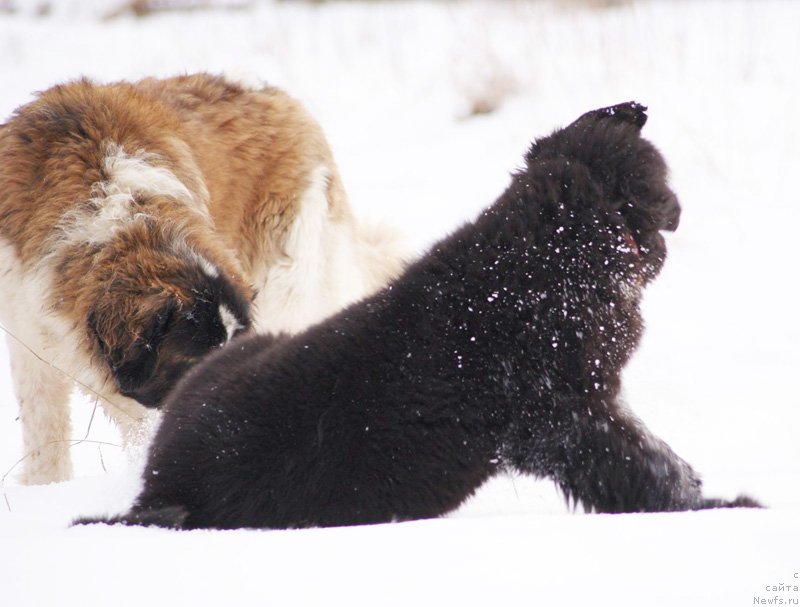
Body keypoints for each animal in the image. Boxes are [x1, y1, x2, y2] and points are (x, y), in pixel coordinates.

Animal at [78, 102, 760, 528]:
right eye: (647, 186)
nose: (674, 217)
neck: (539, 264)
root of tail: (162, 487)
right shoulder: (566, 412)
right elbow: (640, 463)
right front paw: (721, 505)